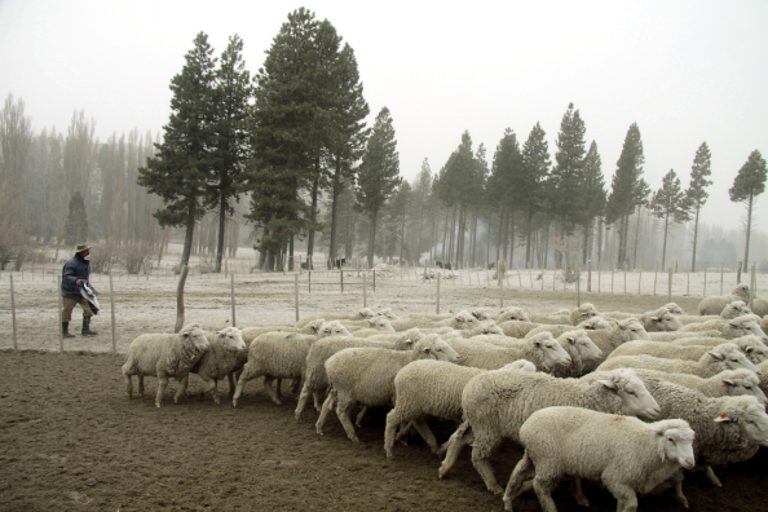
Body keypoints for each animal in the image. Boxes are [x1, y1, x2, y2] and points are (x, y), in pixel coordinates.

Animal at [316, 334, 460, 442]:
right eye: (439, 349)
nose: (458, 358)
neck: (410, 360)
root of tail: (328, 363)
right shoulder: (401, 397)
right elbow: (404, 420)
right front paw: (402, 437)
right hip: (344, 390)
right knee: (340, 411)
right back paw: (353, 435)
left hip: (336, 390)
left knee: (326, 405)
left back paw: (319, 427)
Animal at [382, 360, 536, 456]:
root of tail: (401, 372)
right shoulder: (467, 416)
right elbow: (455, 435)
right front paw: (445, 448)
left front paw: (443, 448)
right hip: (408, 401)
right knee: (391, 418)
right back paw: (389, 449)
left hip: (416, 405)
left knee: (418, 421)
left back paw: (432, 444)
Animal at [438, 366, 660, 494]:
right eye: (631, 391)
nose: (657, 410)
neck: (587, 399)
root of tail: (470, 385)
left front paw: (580, 497)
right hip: (487, 427)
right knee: (477, 456)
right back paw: (493, 485)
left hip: (479, 424)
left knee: (458, 438)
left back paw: (445, 468)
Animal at [500, 408, 692, 512]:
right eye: (670, 439)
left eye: (692, 440)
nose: (690, 462)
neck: (646, 444)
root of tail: (526, 425)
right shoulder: (615, 478)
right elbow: (631, 505)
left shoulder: (623, 482)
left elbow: (623, 503)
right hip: (549, 459)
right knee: (539, 486)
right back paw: (550, 508)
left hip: (535, 455)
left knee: (518, 473)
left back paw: (508, 501)